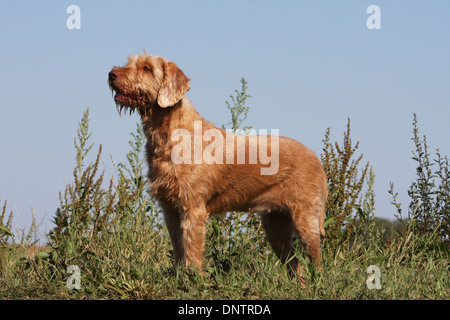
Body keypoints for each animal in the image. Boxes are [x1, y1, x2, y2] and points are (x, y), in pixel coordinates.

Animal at [108, 53, 326, 276]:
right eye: (129, 62)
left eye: (146, 68)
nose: (112, 74)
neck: (167, 132)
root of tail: (316, 158)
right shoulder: (170, 209)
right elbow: (178, 249)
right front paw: (178, 277)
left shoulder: (193, 208)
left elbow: (192, 251)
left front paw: (192, 278)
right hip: (276, 224)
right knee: (295, 265)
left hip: (306, 218)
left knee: (316, 261)